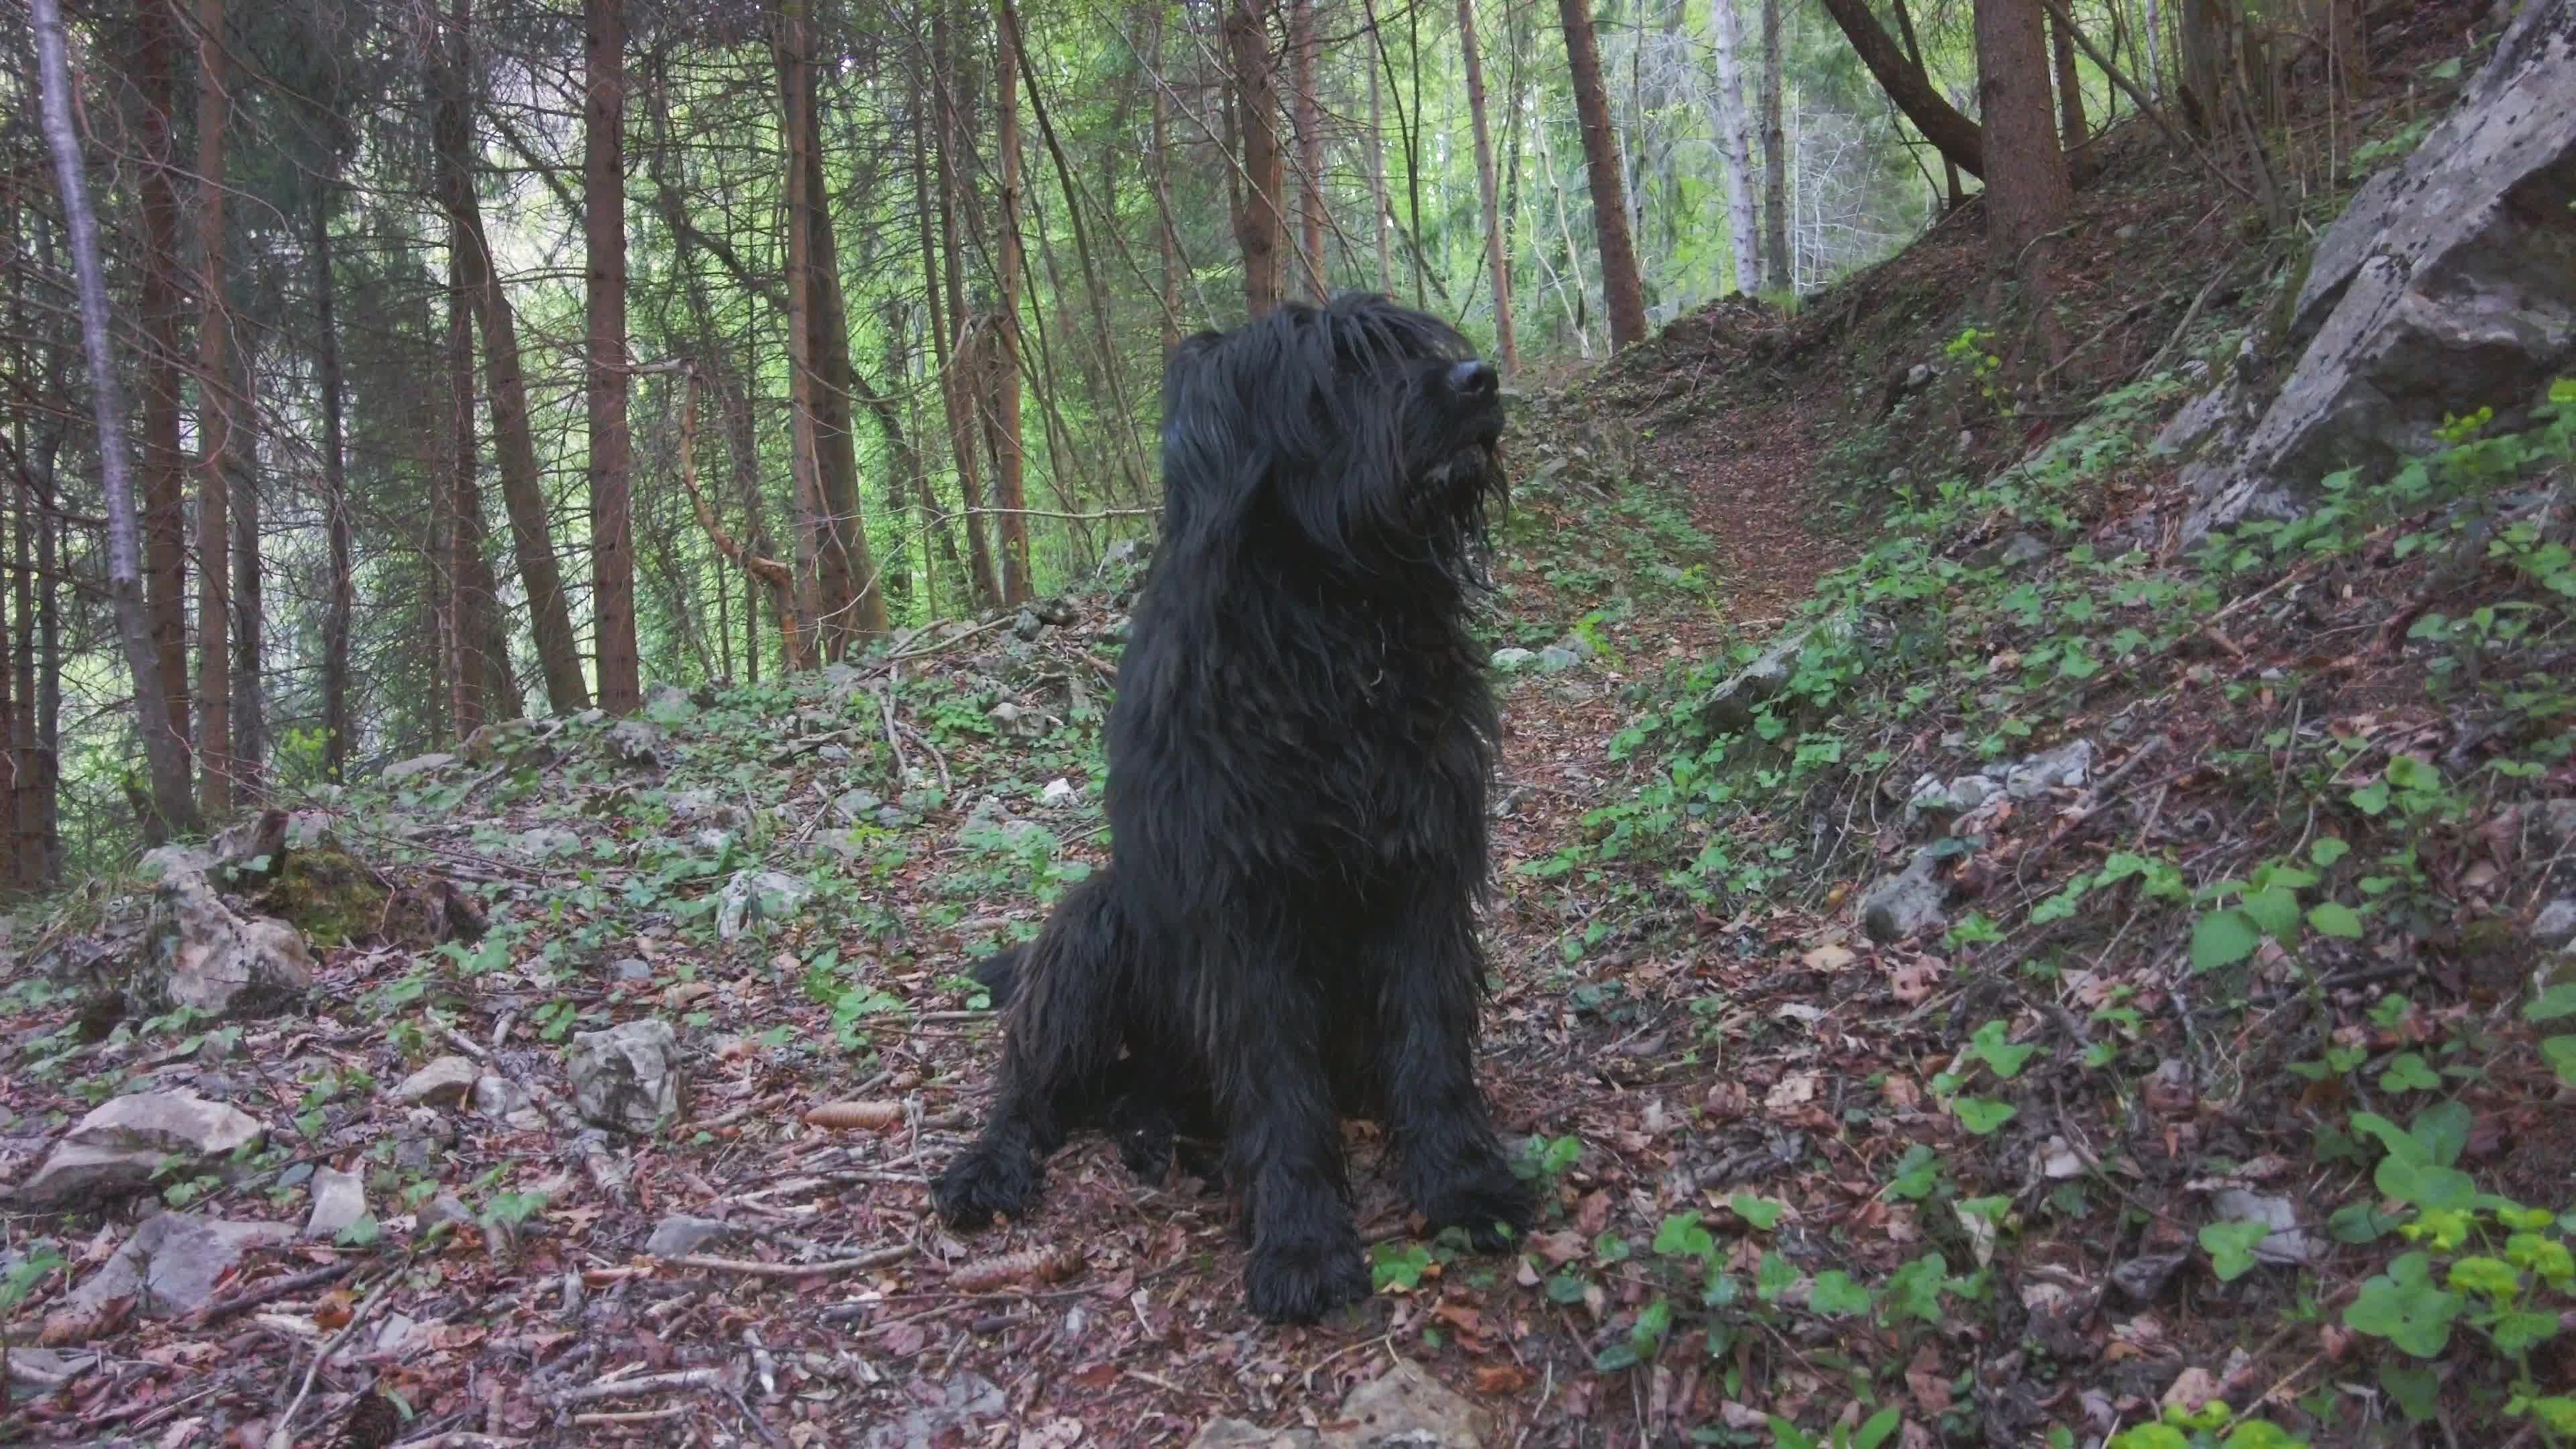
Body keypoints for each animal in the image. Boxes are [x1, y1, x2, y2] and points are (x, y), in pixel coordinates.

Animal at [932, 290, 1514, 1320]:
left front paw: (1460, 1182)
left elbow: (1431, 1039)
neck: (1332, 629)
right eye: (1341, 368)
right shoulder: (1243, 911)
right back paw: (992, 1165)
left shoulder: (1424, 871)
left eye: (1419, 342)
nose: (1478, 378)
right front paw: (1303, 1242)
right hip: (1095, 924)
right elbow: (1278, 1086)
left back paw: (1156, 1136)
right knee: (1031, 1086)